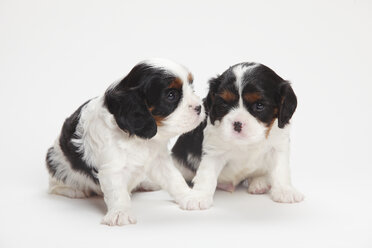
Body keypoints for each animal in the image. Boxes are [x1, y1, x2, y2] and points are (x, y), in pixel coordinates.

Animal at [45, 58, 206, 225]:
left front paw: (190, 197)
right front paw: (120, 212)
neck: (137, 138)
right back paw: (74, 190)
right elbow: (117, 192)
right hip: (54, 160)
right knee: (54, 184)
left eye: (192, 88)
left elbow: (174, 178)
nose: (199, 107)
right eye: (171, 95)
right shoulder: (112, 168)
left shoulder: (159, 160)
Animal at [173, 62, 304, 209]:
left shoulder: (278, 146)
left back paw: (260, 183)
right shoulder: (214, 151)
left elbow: (280, 169)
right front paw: (198, 197)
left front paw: (285, 191)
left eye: (259, 105)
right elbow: (207, 174)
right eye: (224, 103)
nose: (237, 124)